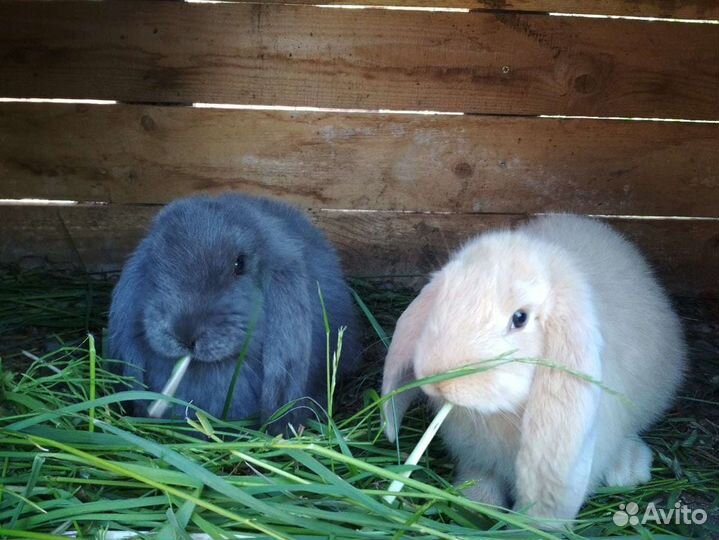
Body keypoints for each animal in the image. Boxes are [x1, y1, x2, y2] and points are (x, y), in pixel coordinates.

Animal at [381, 214, 686, 524]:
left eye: (520, 318)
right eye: (444, 296)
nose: (439, 380)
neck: (502, 415)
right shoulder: (476, 457)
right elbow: (480, 478)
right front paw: (476, 507)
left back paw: (628, 468)